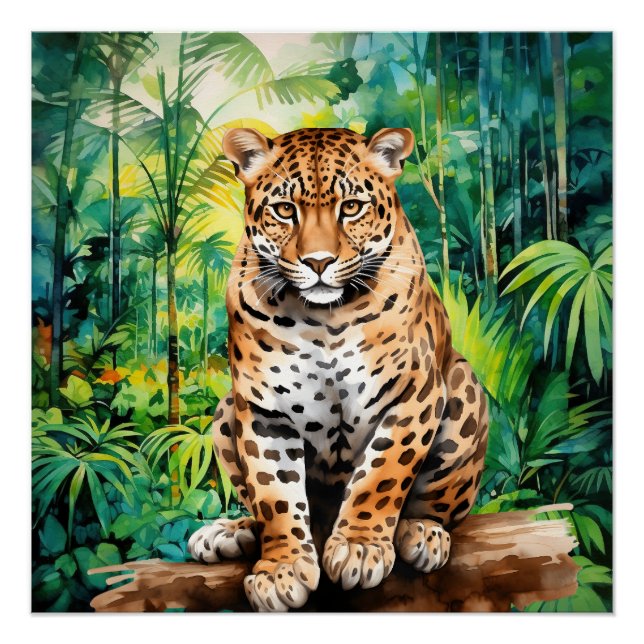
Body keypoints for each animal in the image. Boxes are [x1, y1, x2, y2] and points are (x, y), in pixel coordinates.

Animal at [188, 126, 489, 612]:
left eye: (350, 207)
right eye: (284, 210)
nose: (318, 262)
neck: (323, 318)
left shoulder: (413, 394)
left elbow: (382, 474)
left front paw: (361, 547)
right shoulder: (264, 409)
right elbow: (273, 493)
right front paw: (281, 569)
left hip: (464, 388)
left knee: (439, 506)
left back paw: (422, 532)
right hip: (224, 409)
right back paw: (228, 534)